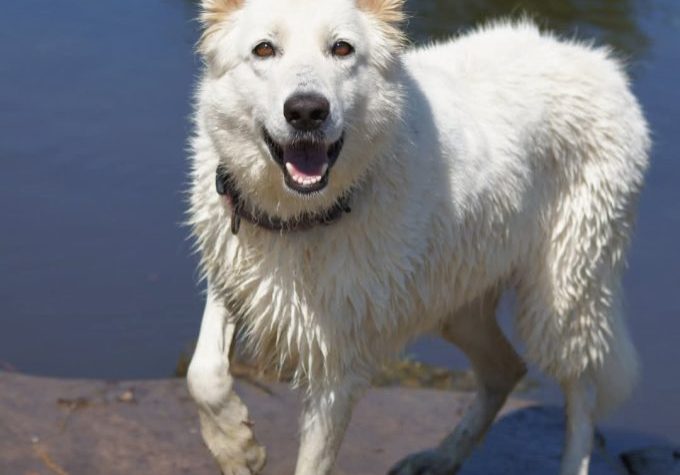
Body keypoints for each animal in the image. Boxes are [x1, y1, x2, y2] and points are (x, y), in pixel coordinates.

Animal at [185, 0, 648, 475]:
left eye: (342, 48)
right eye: (264, 49)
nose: (307, 111)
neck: (304, 215)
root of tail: (600, 65)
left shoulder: (338, 367)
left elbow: (312, 461)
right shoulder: (231, 274)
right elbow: (203, 372)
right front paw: (237, 445)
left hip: (563, 298)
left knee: (581, 391)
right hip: (454, 300)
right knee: (505, 369)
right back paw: (440, 457)